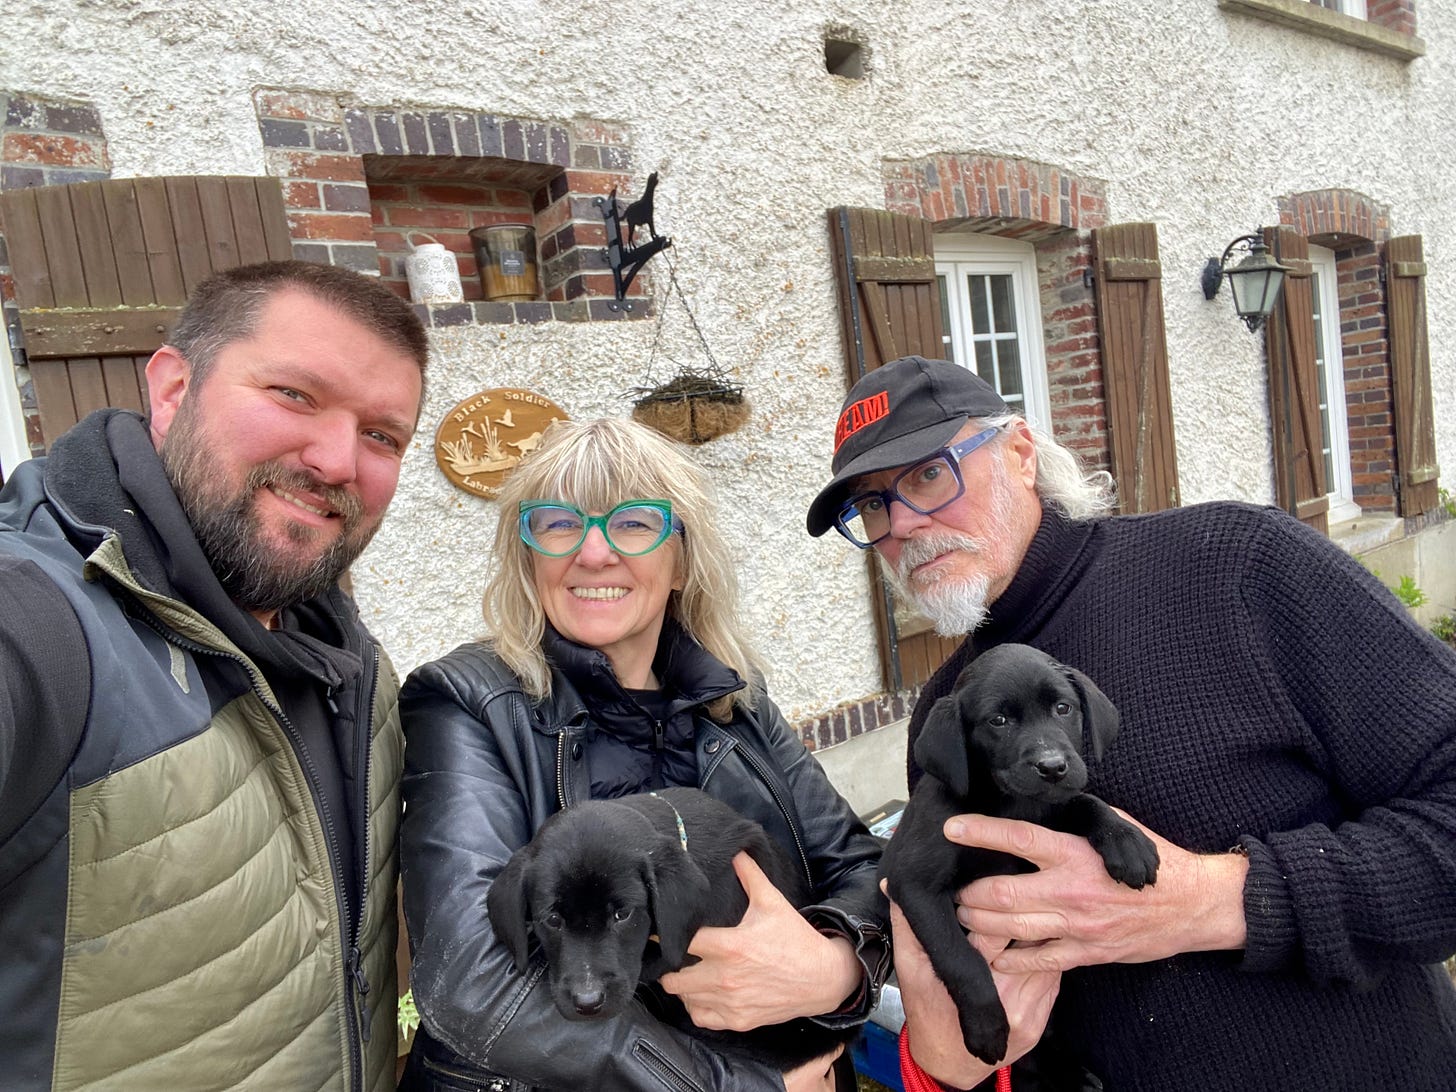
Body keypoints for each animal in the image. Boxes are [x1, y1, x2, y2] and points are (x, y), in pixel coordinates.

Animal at [879, 646, 1153, 1083]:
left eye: (1063, 708)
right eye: (998, 720)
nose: (1053, 767)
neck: (1011, 806)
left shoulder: (1053, 808)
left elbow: (1085, 802)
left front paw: (1127, 841)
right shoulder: (914, 885)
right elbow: (961, 959)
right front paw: (987, 1027)